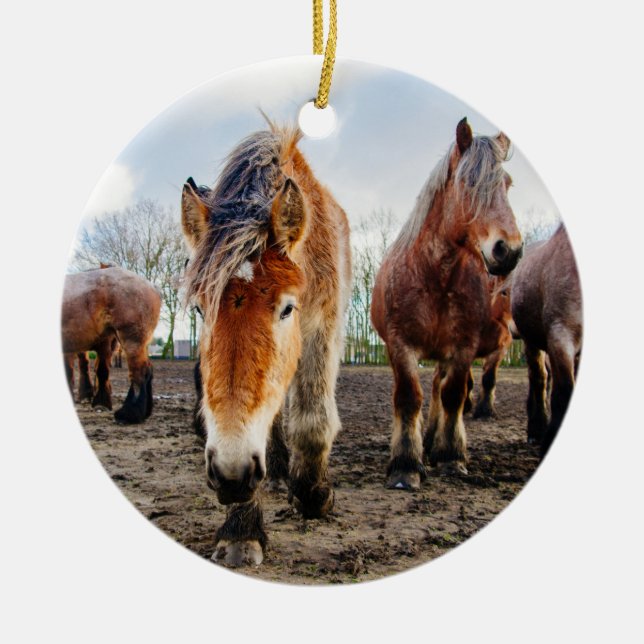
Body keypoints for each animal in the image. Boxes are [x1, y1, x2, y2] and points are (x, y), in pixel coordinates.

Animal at [182, 124, 351, 567]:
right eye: (202, 310)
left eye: (287, 308)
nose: (232, 473)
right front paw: (242, 529)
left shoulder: (322, 326)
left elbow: (312, 419)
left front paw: (314, 495)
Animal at [371, 118, 523, 490]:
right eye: (469, 182)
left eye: (507, 184)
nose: (509, 250)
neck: (435, 277)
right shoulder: (400, 345)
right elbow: (409, 397)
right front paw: (405, 466)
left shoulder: (463, 347)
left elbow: (453, 395)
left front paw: (451, 457)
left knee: (441, 389)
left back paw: (434, 443)